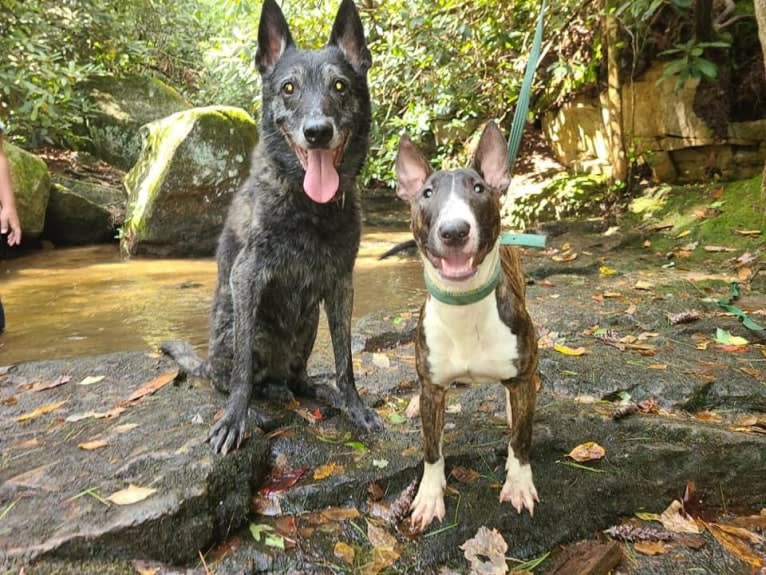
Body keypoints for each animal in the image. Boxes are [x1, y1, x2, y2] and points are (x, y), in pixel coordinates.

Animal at [166, 0, 388, 454]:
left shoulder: (341, 283)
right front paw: (235, 419)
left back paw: (315, 389)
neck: (309, 206)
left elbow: (345, 361)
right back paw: (262, 397)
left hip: (308, 325)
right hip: (241, 331)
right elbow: (240, 375)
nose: (317, 132)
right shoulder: (247, 276)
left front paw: (355, 407)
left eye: (340, 86)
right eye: (288, 88)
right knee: (235, 376)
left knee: (298, 376)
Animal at [396, 124, 540, 532]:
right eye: (427, 194)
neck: (464, 307)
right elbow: (431, 449)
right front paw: (429, 497)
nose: (454, 231)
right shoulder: (432, 389)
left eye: (478, 188)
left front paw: (519, 483)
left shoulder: (522, 373)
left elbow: (521, 439)